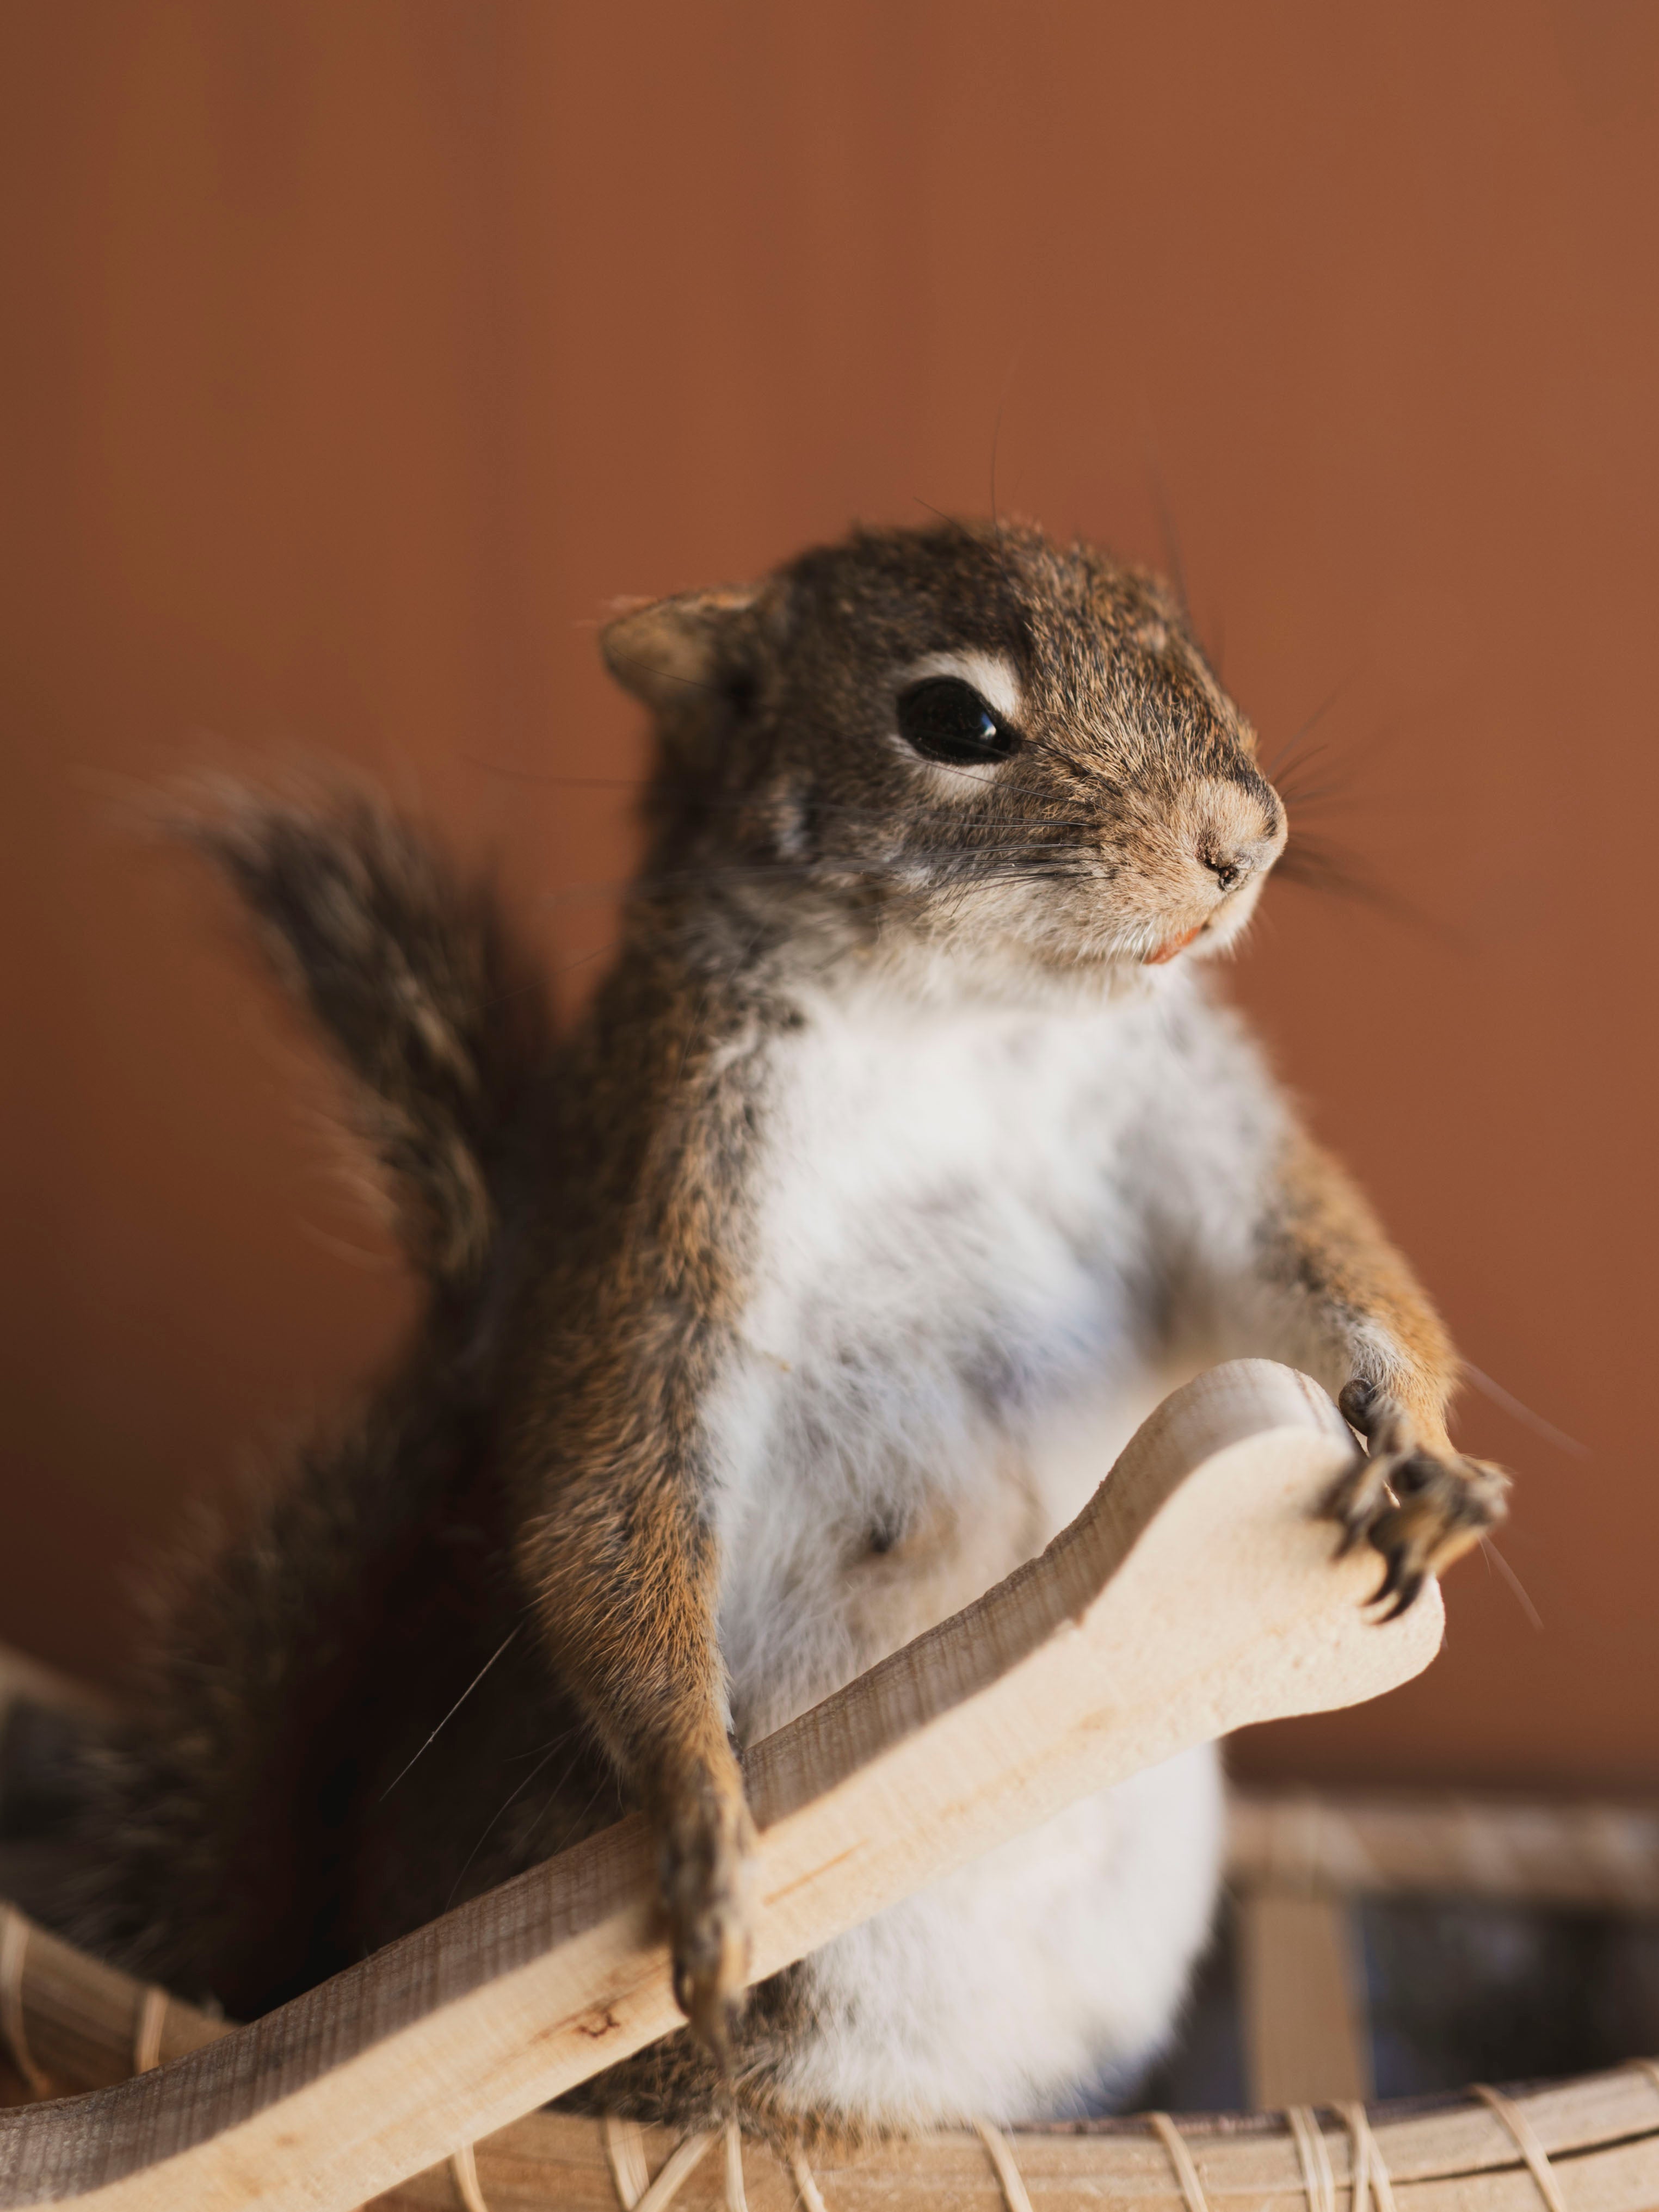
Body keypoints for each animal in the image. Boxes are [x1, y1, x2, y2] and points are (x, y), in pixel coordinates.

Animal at [34, 518, 1506, 2135]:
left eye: (1179, 627)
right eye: (953, 721)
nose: (1244, 838)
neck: (963, 1018)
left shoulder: (1188, 1126)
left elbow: (1310, 1259)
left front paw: (1421, 1454)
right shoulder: (668, 1189)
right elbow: (610, 1489)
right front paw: (702, 1814)